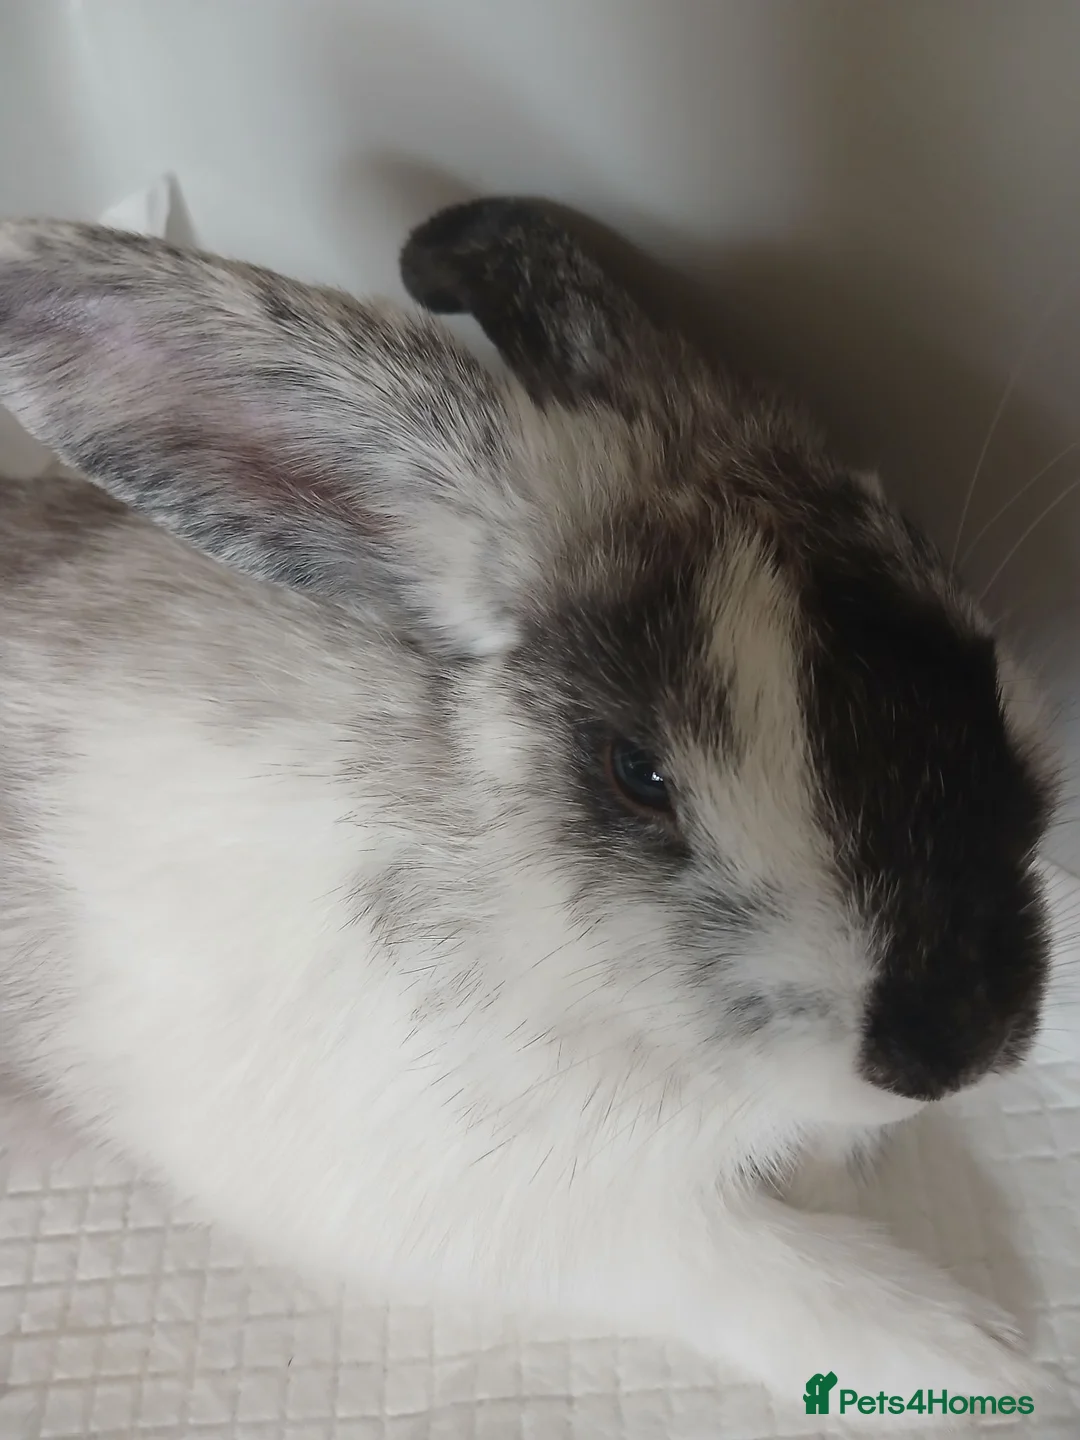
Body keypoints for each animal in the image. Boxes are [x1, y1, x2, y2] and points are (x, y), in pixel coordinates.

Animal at [0, 197, 1059, 1418]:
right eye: (635, 772)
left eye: (974, 667)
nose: (953, 1048)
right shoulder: (555, 1218)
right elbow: (756, 1268)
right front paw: (984, 1359)